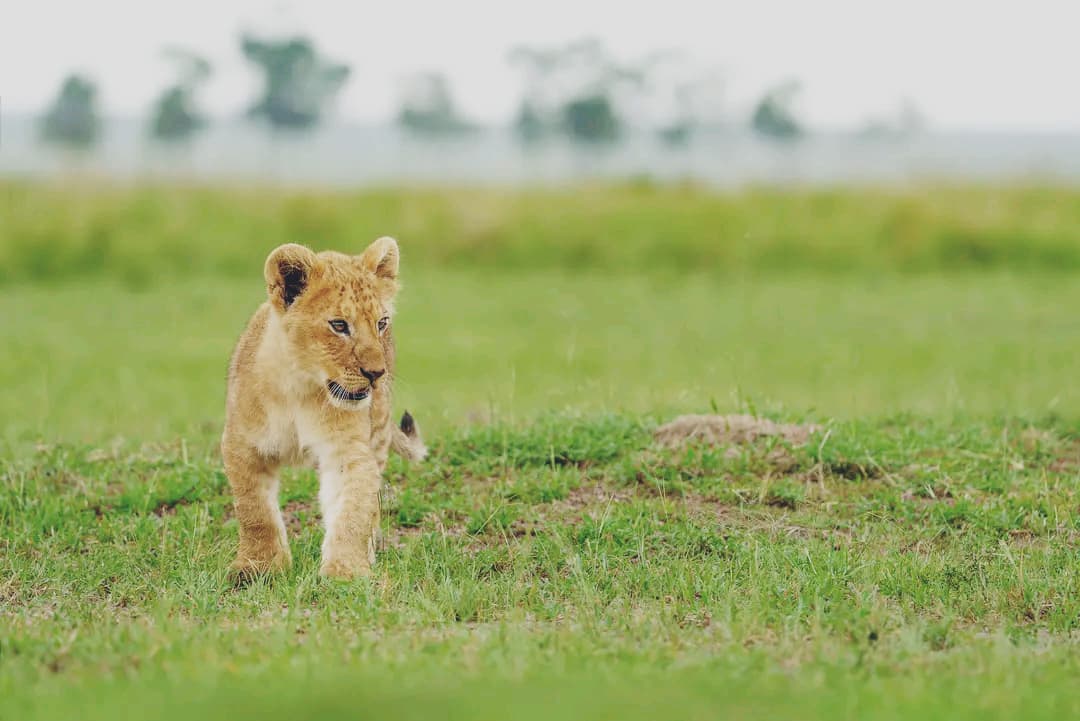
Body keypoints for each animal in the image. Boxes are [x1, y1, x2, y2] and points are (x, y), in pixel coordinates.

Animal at [221, 237, 426, 582]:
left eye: (381, 323)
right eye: (339, 325)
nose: (376, 374)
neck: (300, 388)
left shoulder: (349, 451)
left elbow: (353, 512)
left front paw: (346, 572)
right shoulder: (242, 445)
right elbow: (254, 511)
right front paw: (258, 566)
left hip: (378, 431)